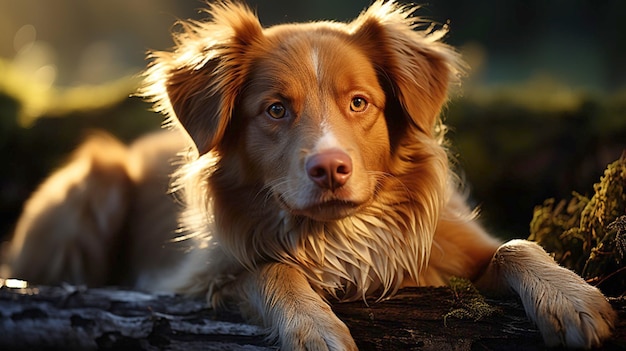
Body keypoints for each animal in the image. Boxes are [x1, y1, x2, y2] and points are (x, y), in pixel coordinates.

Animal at [1, 1, 616, 350]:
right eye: (276, 109)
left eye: (360, 102)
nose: (330, 167)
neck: (337, 235)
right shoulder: (196, 280)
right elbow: (271, 270)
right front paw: (314, 329)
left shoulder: (451, 250)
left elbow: (515, 246)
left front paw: (571, 300)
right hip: (94, 183)